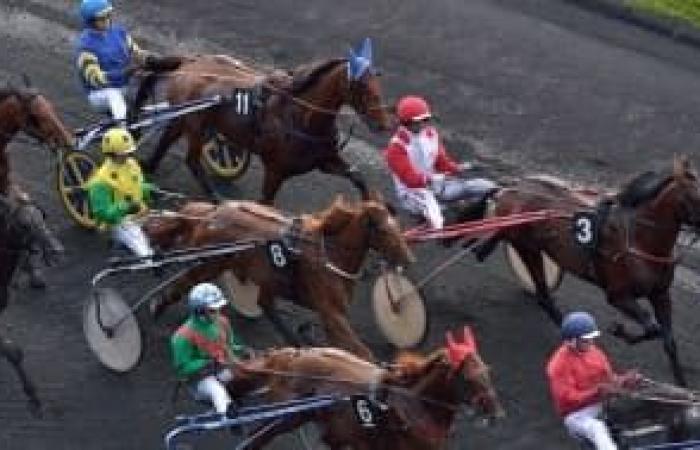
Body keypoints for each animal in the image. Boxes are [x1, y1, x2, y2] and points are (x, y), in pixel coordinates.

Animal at [0, 189, 65, 414]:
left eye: (42, 216)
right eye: (24, 225)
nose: (57, 250)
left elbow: (14, 352)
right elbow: (12, 351)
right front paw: (32, 394)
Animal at [145, 192, 412, 360]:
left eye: (399, 227)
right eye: (384, 230)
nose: (408, 260)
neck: (329, 253)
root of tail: (213, 212)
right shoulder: (332, 314)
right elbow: (360, 352)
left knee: (264, 302)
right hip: (208, 264)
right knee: (184, 285)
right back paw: (157, 306)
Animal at [227, 326, 506, 450]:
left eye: (487, 371)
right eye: (467, 378)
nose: (496, 414)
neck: (414, 403)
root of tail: (290, 356)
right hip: (285, 417)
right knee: (256, 437)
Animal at [478, 156, 700, 384]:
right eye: (695, 196)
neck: (639, 241)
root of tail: (511, 188)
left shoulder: (661, 294)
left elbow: (669, 340)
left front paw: (682, 385)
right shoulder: (618, 296)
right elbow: (653, 329)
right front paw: (619, 331)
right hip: (527, 247)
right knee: (543, 296)